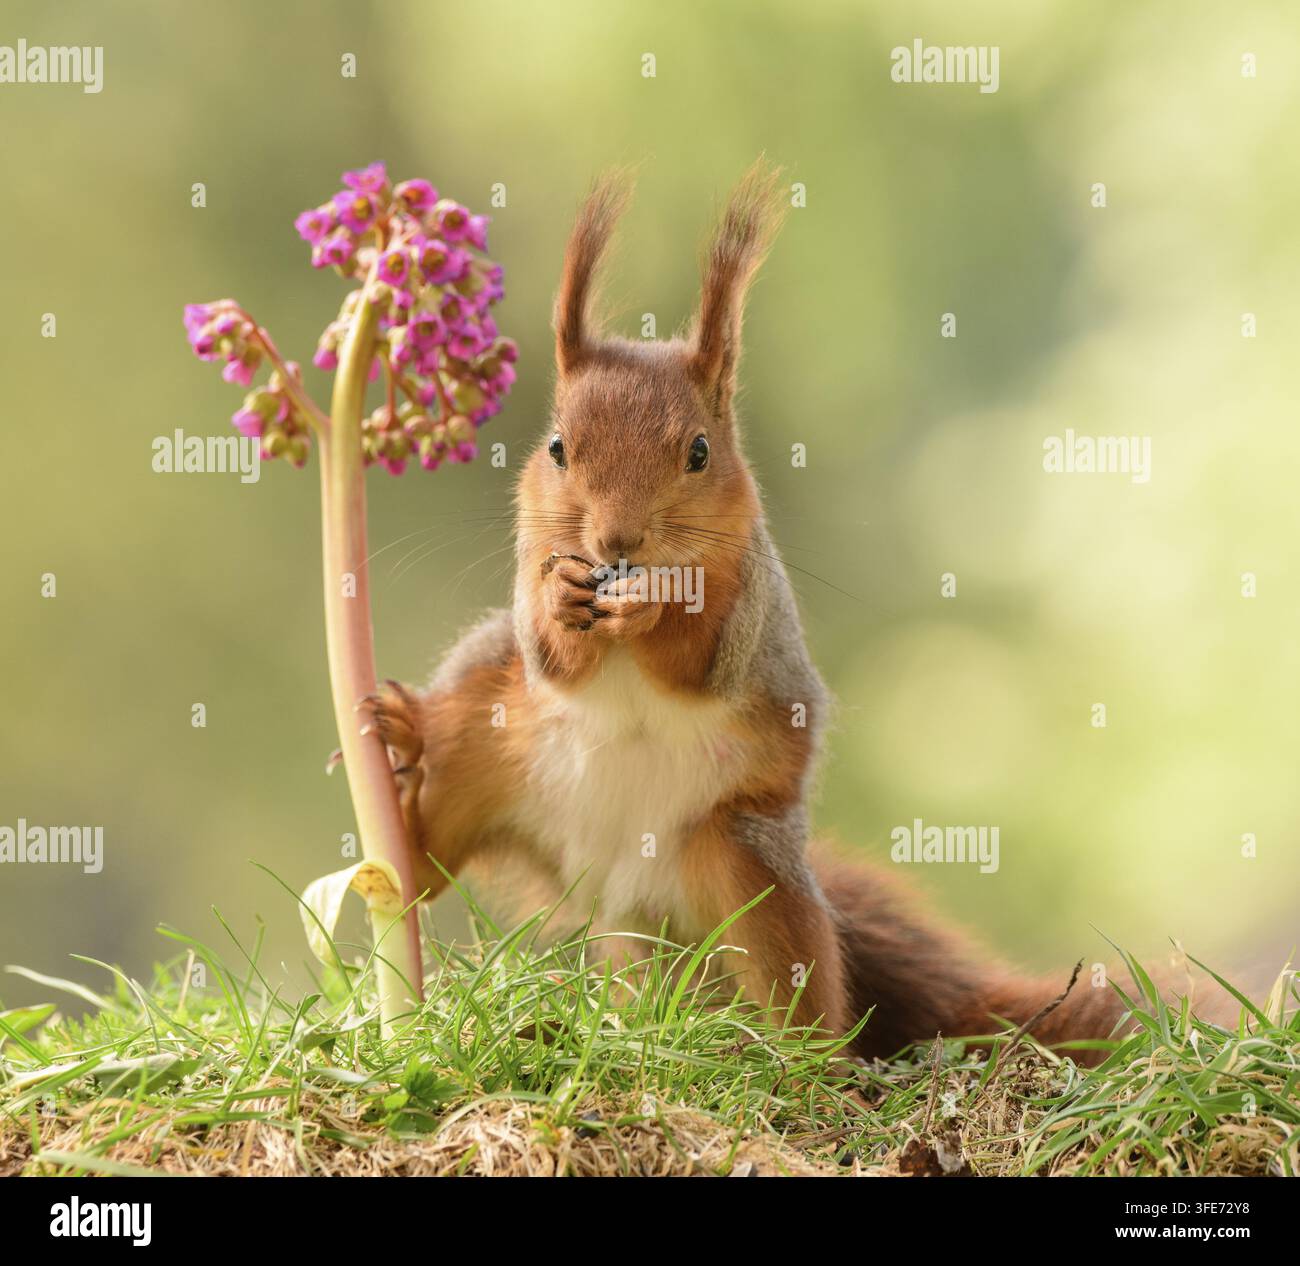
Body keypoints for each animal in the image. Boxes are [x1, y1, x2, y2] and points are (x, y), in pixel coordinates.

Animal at [362, 161, 1209, 1060]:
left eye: (699, 452)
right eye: (557, 448)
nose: (617, 540)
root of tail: (615, 881)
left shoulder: (752, 602)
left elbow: (704, 659)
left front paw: (656, 612)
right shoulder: (529, 578)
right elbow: (547, 653)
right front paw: (564, 603)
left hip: (745, 865)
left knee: (804, 991)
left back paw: (792, 1059)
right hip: (480, 755)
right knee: (429, 862)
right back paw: (401, 768)